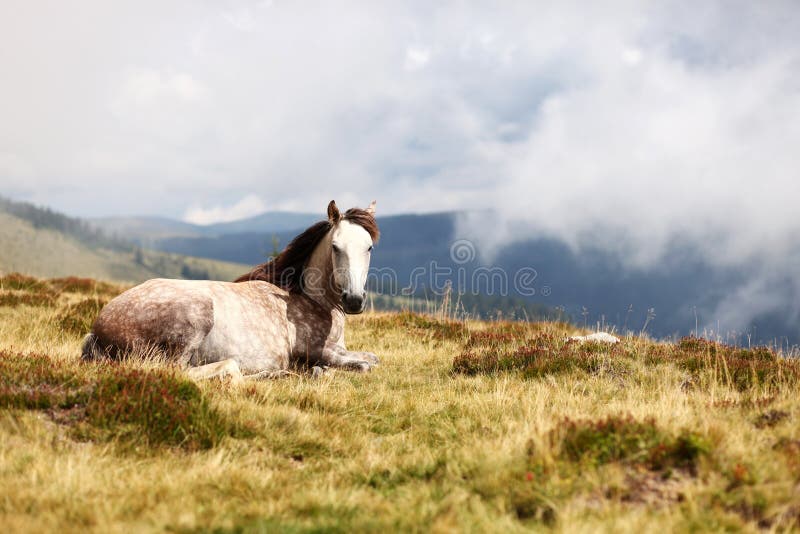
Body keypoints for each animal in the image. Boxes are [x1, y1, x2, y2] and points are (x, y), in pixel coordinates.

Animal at [79, 201, 380, 382]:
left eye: (369, 247)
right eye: (336, 247)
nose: (354, 300)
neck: (310, 301)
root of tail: (97, 330)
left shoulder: (338, 347)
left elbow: (371, 357)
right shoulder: (314, 350)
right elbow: (364, 364)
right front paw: (319, 370)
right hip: (196, 319)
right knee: (191, 371)